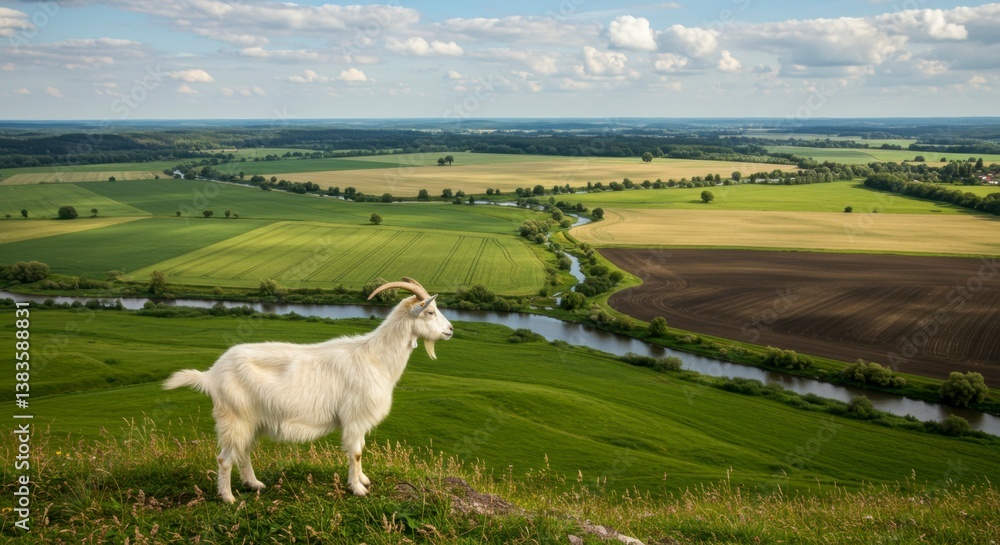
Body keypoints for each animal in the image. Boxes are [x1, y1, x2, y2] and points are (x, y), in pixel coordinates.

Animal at [162, 277, 453, 503]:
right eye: (430, 312)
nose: (450, 330)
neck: (376, 357)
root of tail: (211, 374)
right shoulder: (355, 416)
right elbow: (356, 452)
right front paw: (357, 488)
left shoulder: (358, 420)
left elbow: (360, 449)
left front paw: (363, 480)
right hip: (234, 417)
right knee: (225, 459)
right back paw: (228, 498)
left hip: (251, 420)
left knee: (244, 452)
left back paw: (254, 484)